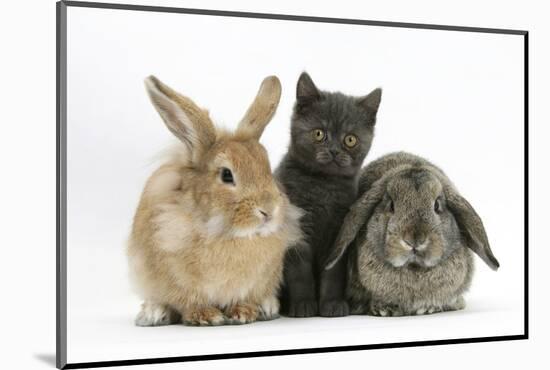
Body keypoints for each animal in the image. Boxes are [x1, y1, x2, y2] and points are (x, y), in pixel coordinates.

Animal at [276, 73, 384, 318]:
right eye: (319, 134)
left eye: (350, 139)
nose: (334, 150)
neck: (323, 186)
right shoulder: (297, 229)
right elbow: (299, 272)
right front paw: (303, 305)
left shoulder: (340, 230)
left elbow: (334, 272)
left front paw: (333, 304)